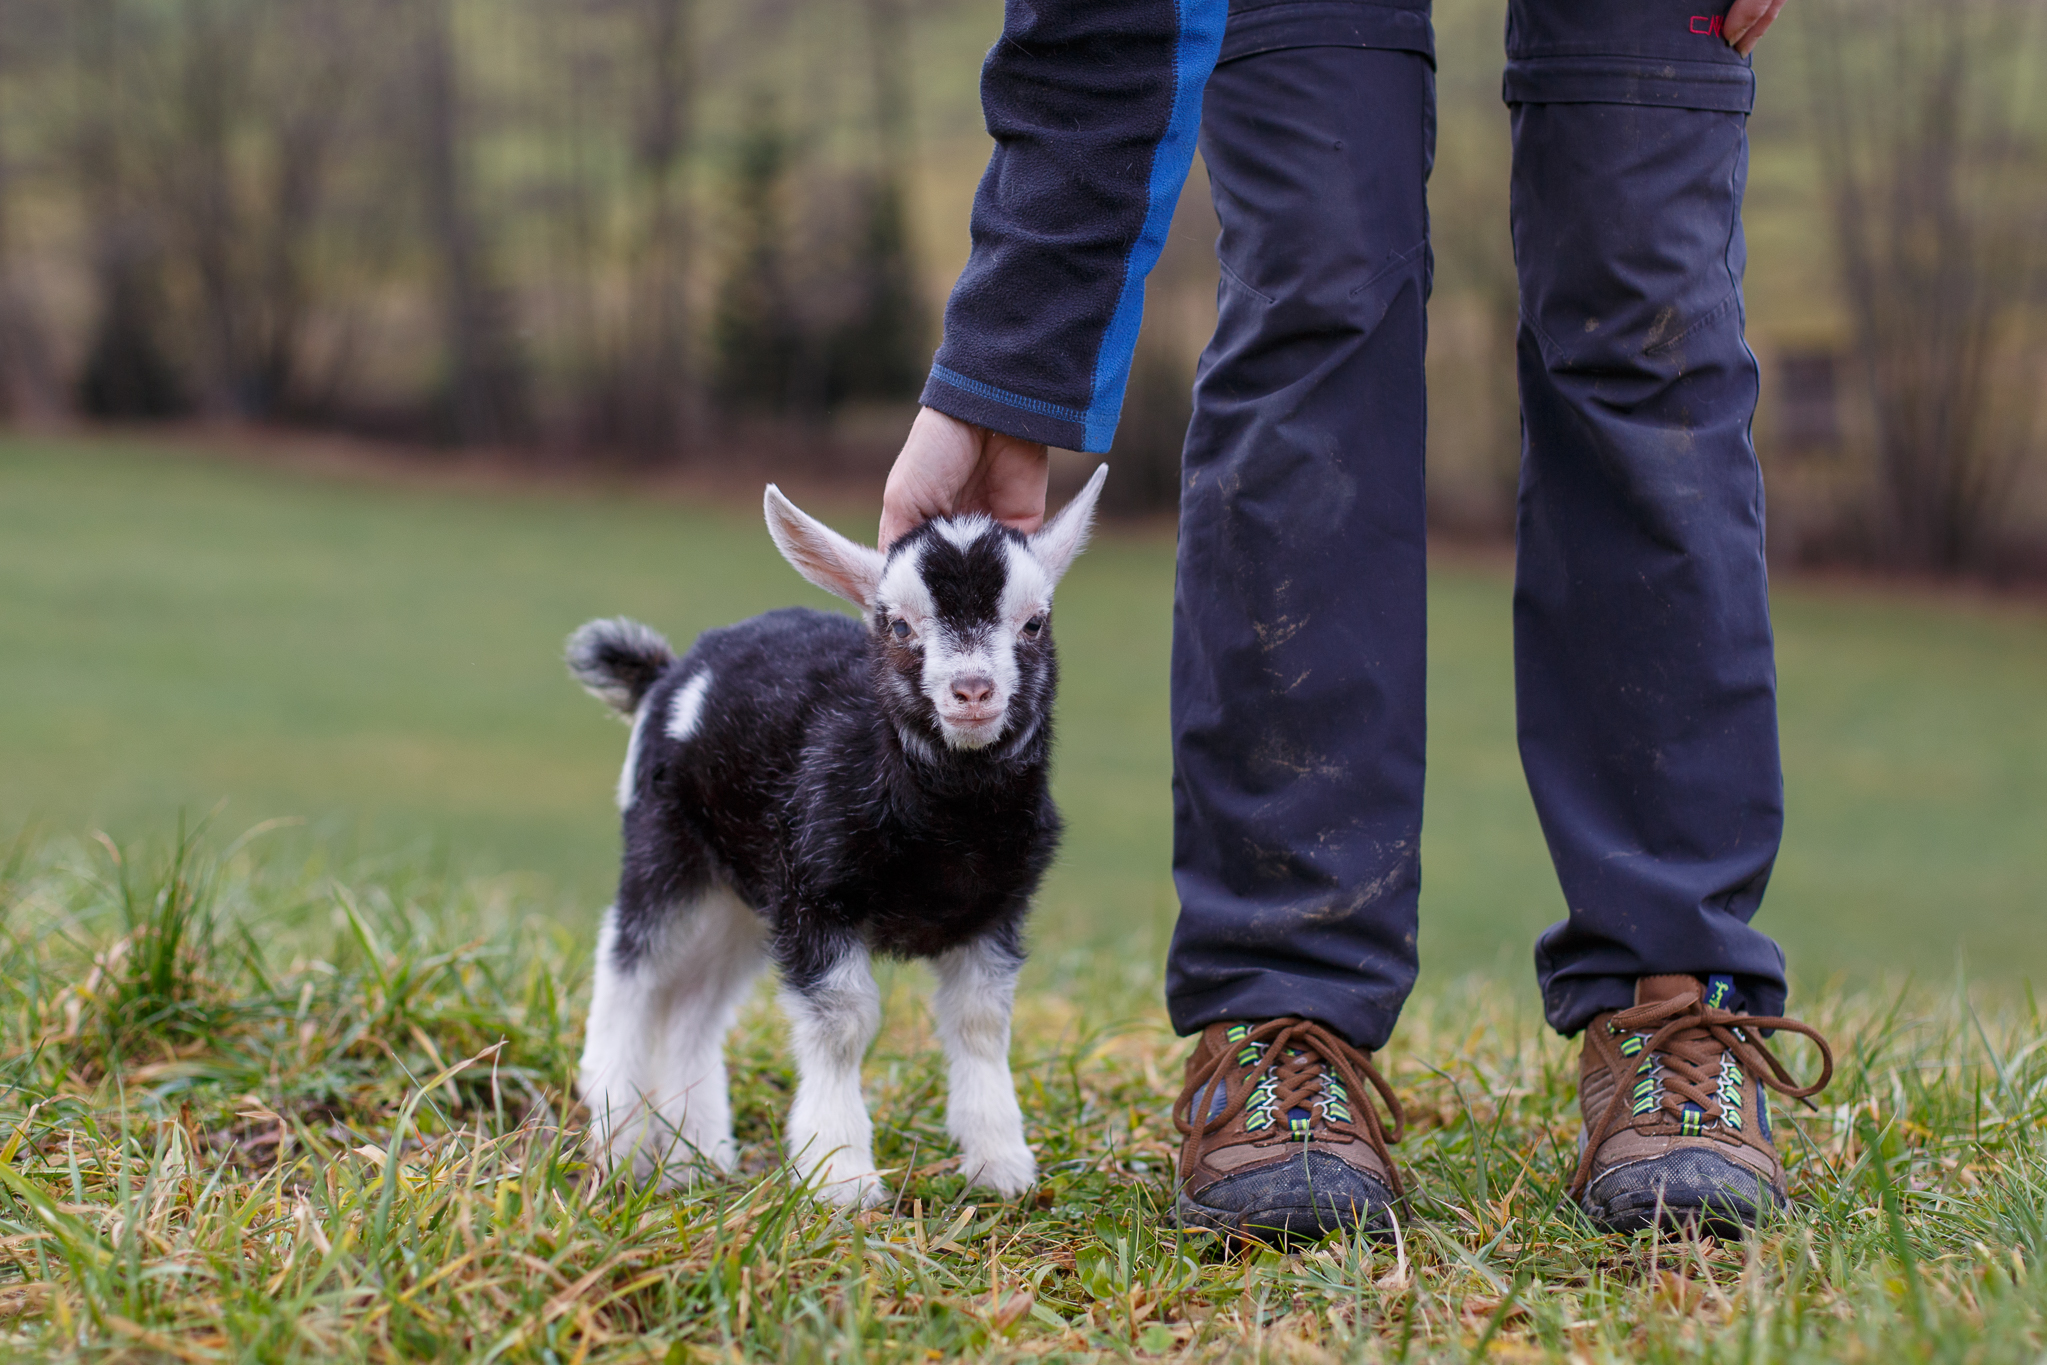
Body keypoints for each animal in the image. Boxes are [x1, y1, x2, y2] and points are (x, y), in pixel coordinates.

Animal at [560, 470, 1105, 1203]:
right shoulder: (814, 896)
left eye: (1034, 622)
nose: (972, 690)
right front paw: (840, 1177)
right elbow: (844, 1021)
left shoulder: (995, 908)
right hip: (665, 845)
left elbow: (981, 1021)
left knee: (695, 1004)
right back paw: (615, 1131)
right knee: (631, 967)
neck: (946, 825)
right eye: (898, 625)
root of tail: (670, 676)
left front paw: (1000, 1165)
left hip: (741, 893)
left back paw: (693, 1158)